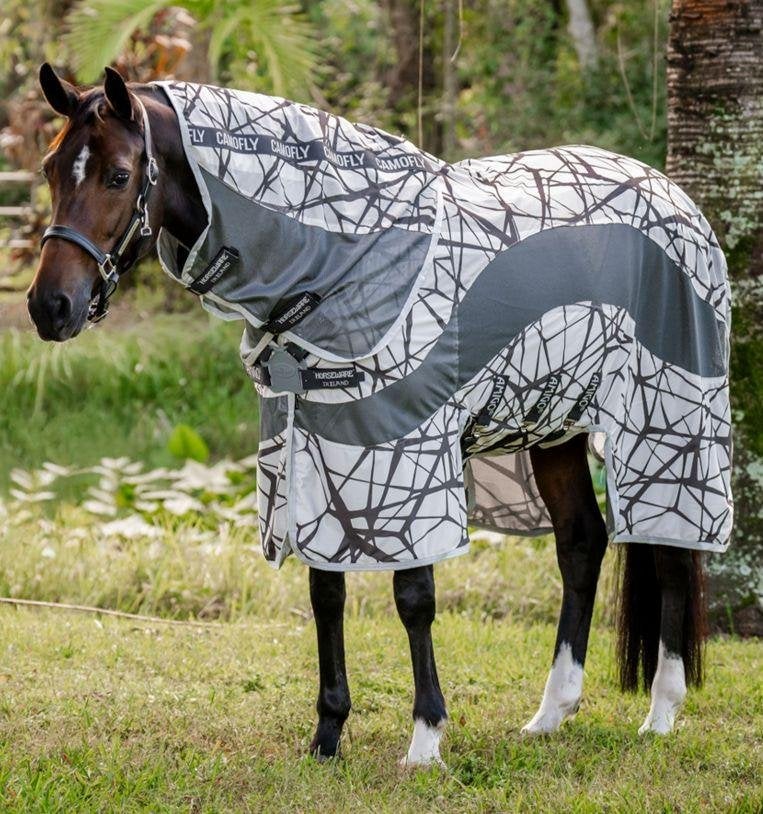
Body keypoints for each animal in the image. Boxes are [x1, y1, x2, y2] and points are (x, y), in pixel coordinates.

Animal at [27, 64, 729, 767]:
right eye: (51, 168)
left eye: (119, 175)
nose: (49, 306)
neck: (349, 261)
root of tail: (673, 194)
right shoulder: (316, 449)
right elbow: (327, 592)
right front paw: (328, 734)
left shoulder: (407, 457)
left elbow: (413, 598)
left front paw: (425, 739)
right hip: (554, 422)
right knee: (582, 544)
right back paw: (551, 713)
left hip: (668, 421)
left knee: (672, 550)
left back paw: (661, 714)